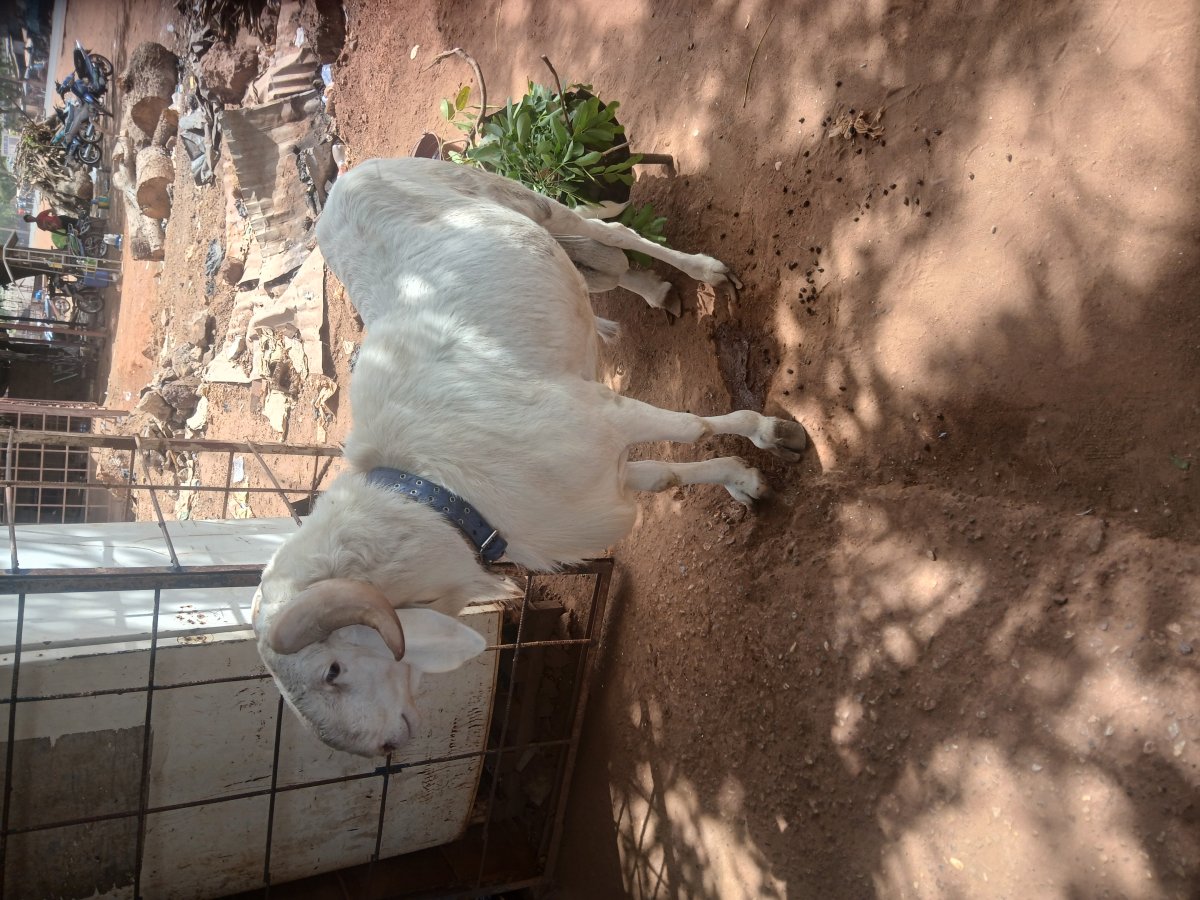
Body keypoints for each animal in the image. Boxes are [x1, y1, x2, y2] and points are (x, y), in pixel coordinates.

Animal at [251, 157, 808, 757]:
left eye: (331, 670)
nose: (382, 748)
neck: (441, 492)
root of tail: (343, 183)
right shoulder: (595, 480)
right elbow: (665, 475)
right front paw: (743, 482)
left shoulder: (603, 415)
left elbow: (696, 426)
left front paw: (776, 433)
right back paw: (657, 291)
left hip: (516, 197)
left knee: (612, 232)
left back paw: (705, 273)